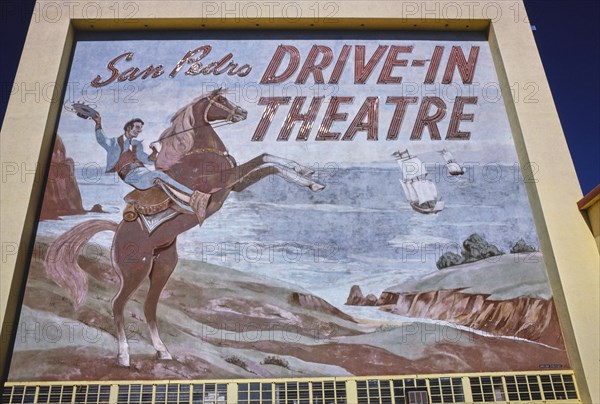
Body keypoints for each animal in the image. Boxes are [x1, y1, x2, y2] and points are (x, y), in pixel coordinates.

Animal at [45, 88, 326, 366]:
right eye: (221, 99)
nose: (242, 112)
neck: (200, 154)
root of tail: (117, 232)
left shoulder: (236, 184)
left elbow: (267, 159)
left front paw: (310, 177)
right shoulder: (226, 181)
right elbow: (264, 160)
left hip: (163, 266)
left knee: (149, 306)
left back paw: (163, 352)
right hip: (136, 271)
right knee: (117, 304)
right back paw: (124, 356)